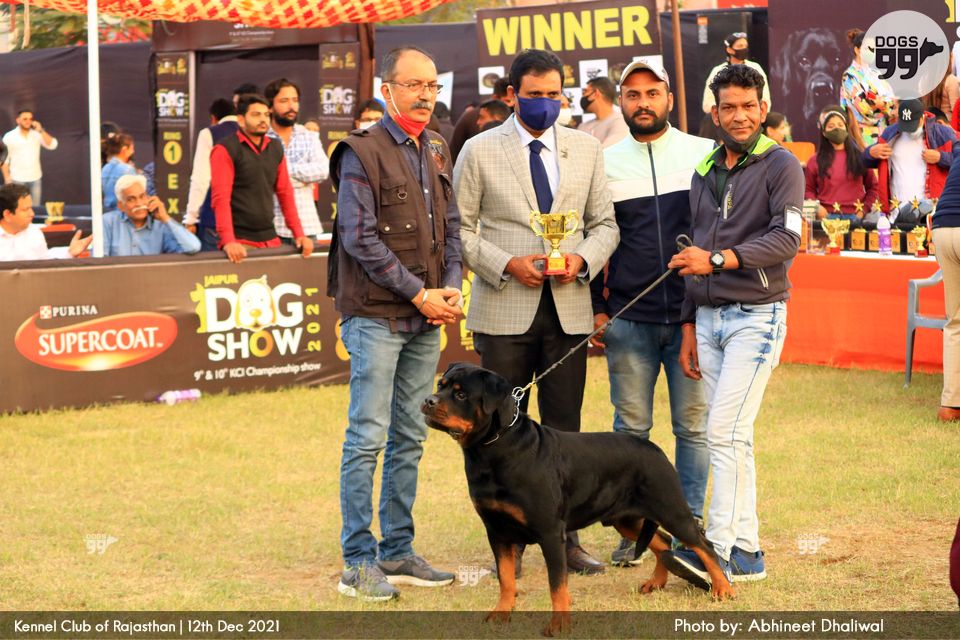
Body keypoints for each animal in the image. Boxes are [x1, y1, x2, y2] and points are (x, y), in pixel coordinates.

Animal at [422, 362, 734, 635]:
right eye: (441, 385)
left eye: (461, 394)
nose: (428, 400)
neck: (493, 449)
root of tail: (655, 449)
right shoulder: (496, 531)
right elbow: (506, 579)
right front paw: (502, 613)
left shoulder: (550, 532)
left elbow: (557, 584)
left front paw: (558, 626)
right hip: (626, 519)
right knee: (664, 542)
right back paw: (655, 582)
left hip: (670, 509)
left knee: (703, 544)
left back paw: (723, 589)